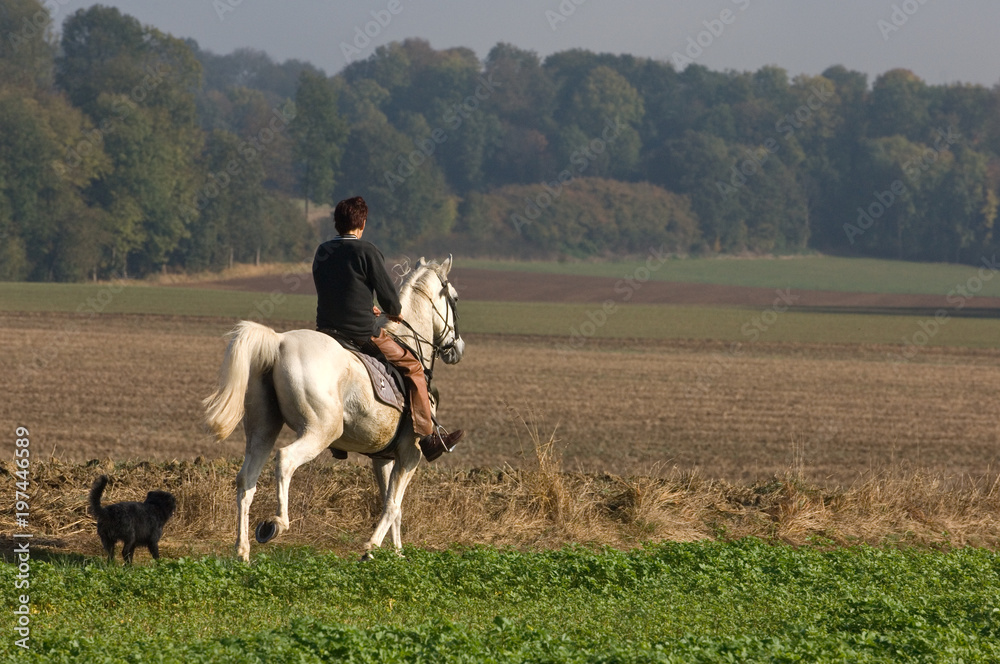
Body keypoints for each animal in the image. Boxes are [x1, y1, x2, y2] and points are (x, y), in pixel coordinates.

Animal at [204, 255, 468, 560]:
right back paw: (276, 524)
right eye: (455, 298)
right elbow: (393, 505)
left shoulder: (383, 457)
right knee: (285, 459)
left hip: (263, 430)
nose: (458, 349)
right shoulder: (409, 453)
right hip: (321, 430)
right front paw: (372, 547)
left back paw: (242, 551)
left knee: (246, 481)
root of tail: (279, 342)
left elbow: (393, 505)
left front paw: (396, 555)